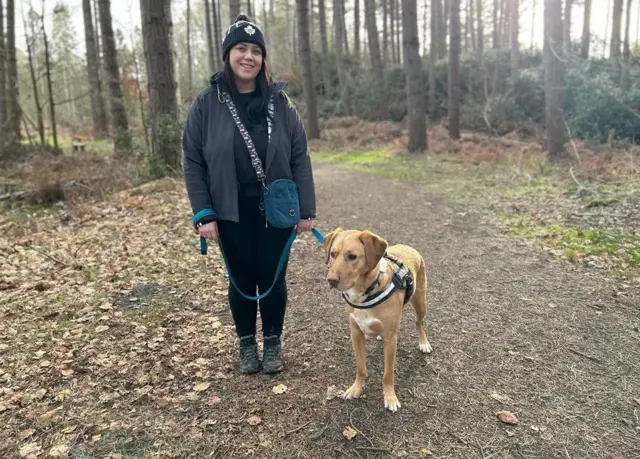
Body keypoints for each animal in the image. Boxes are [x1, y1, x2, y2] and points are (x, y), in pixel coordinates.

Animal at [324, 230, 430, 414]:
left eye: (352, 256)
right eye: (333, 254)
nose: (331, 280)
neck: (366, 291)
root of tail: (408, 247)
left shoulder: (391, 339)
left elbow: (388, 374)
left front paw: (390, 398)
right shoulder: (356, 333)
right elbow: (361, 368)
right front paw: (356, 389)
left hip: (420, 302)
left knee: (419, 322)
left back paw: (424, 343)